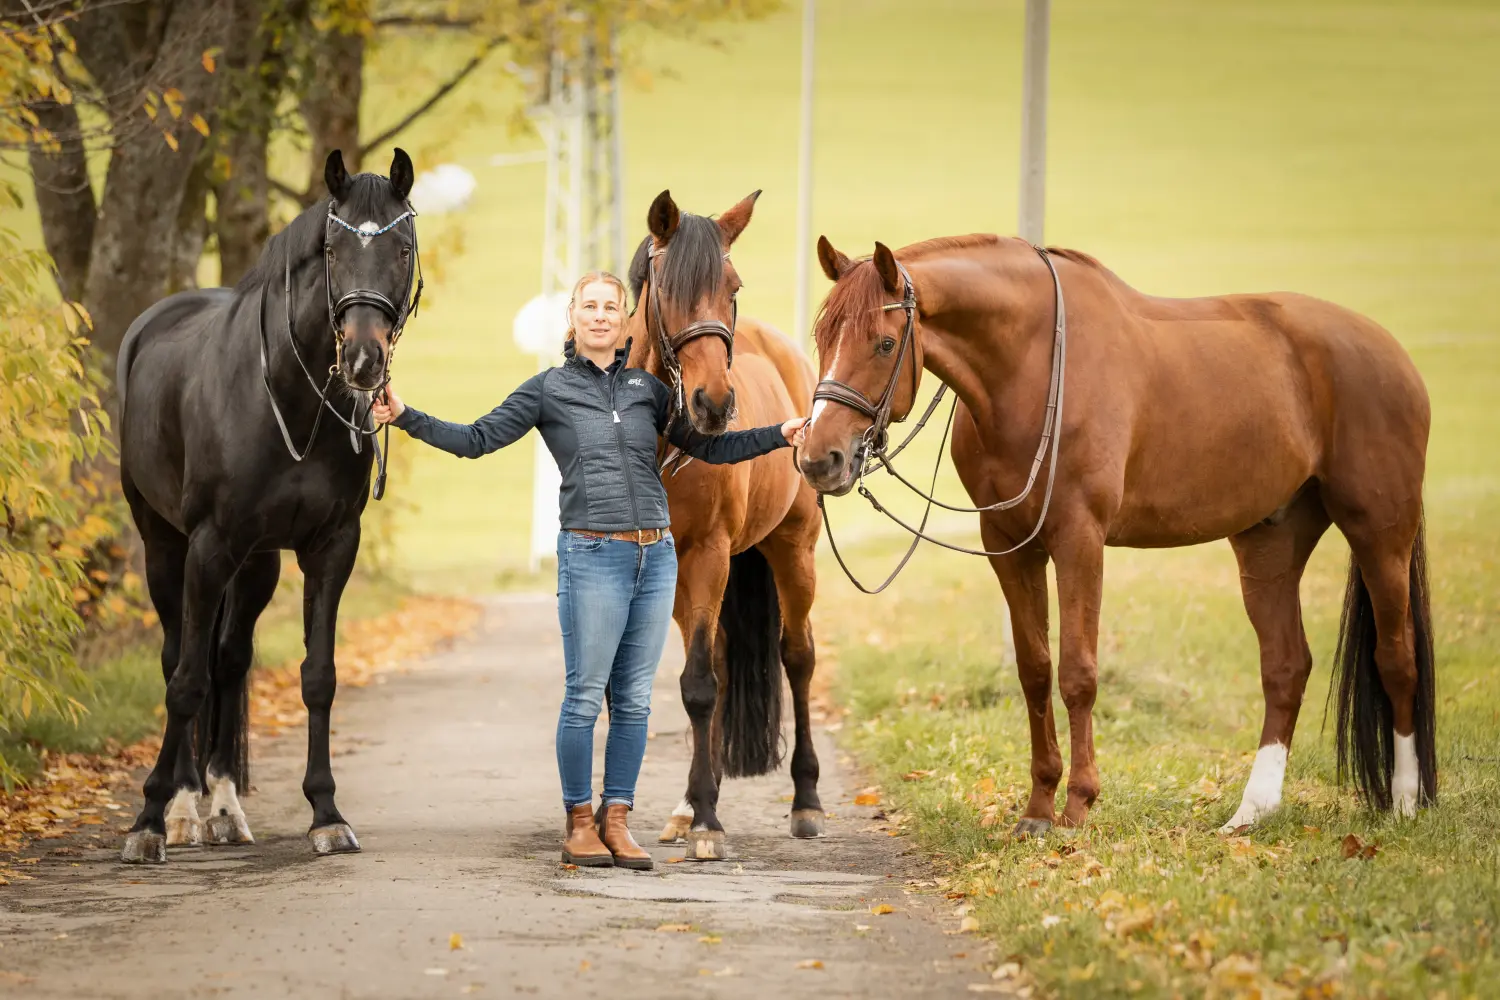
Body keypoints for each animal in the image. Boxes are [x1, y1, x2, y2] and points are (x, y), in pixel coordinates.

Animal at [114, 148, 423, 863]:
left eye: (402, 248)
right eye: (333, 248)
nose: (363, 360)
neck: (287, 396)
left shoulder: (330, 547)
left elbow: (318, 675)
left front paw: (326, 814)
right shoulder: (207, 547)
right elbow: (185, 681)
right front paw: (148, 821)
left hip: (256, 564)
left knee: (229, 660)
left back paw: (224, 809)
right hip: (165, 546)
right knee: (180, 658)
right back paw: (181, 809)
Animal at [621, 193, 828, 863]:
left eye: (731, 286)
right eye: (668, 288)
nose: (714, 403)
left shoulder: (709, 552)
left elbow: (700, 685)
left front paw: (710, 821)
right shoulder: (670, 565)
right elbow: (697, 677)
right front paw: (697, 809)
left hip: (793, 550)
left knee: (798, 656)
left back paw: (806, 800)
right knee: (715, 656)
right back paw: (691, 802)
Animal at [804, 235, 1434, 839]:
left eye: (885, 344)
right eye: (821, 338)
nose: (819, 458)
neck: (1034, 369)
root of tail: (1391, 353)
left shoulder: (1079, 539)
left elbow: (1077, 673)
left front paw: (1078, 806)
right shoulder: (1009, 546)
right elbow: (1035, 671)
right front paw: (1038, 807)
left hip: (1380, 533)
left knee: (1396, 656)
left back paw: (1405, 804)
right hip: (1269, 544)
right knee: (1285, 667)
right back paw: (1251, 813)